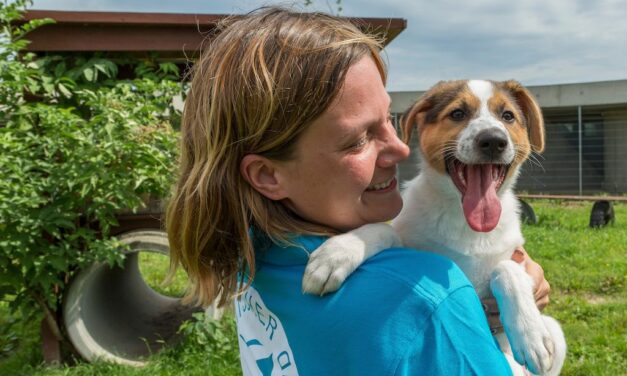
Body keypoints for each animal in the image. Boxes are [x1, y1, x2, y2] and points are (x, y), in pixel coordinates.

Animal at [304, 80, 568, 376]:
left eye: (508, 116)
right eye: (457, 113)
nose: (493, 141)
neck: (466, 223)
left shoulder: (515, 254)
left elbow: (506, 268)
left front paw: (530, 334)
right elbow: (386, 230)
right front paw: (337, 253)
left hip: (556, 332)